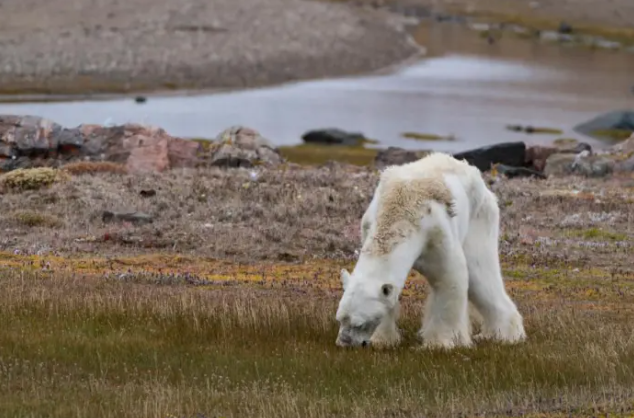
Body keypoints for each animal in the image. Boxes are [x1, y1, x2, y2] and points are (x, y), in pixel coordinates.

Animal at [336, 152, 524, 352]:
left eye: (359, 324)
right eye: (340, 319)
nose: (344, 343)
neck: (397, 213)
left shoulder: (434, 233)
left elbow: (449, 277)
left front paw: (439, 343)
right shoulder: (369, 223)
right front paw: (382, 340)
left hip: (479, 217)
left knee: (480, 274)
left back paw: (505, 334)